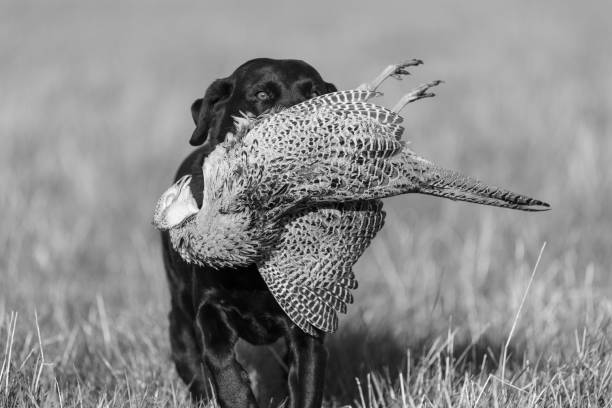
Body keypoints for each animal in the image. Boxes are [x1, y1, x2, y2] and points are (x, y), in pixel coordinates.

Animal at [160, 58, 338, 408]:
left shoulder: (306, 326)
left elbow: (306, 382)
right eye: (261, 95)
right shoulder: (212, 308)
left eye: (316, 93)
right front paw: (238, 396)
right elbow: (221, 364)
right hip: (180, 312)